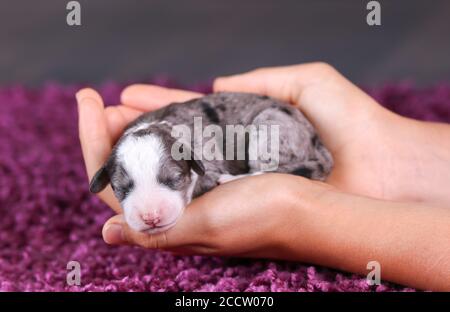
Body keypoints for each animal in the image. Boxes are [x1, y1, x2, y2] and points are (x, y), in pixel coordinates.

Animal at [89, 92, 334, 234]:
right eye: (120, 188)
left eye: (175, 179)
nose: (151, 218)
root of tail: (318, 142)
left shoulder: (210, 166)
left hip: (271, 126)